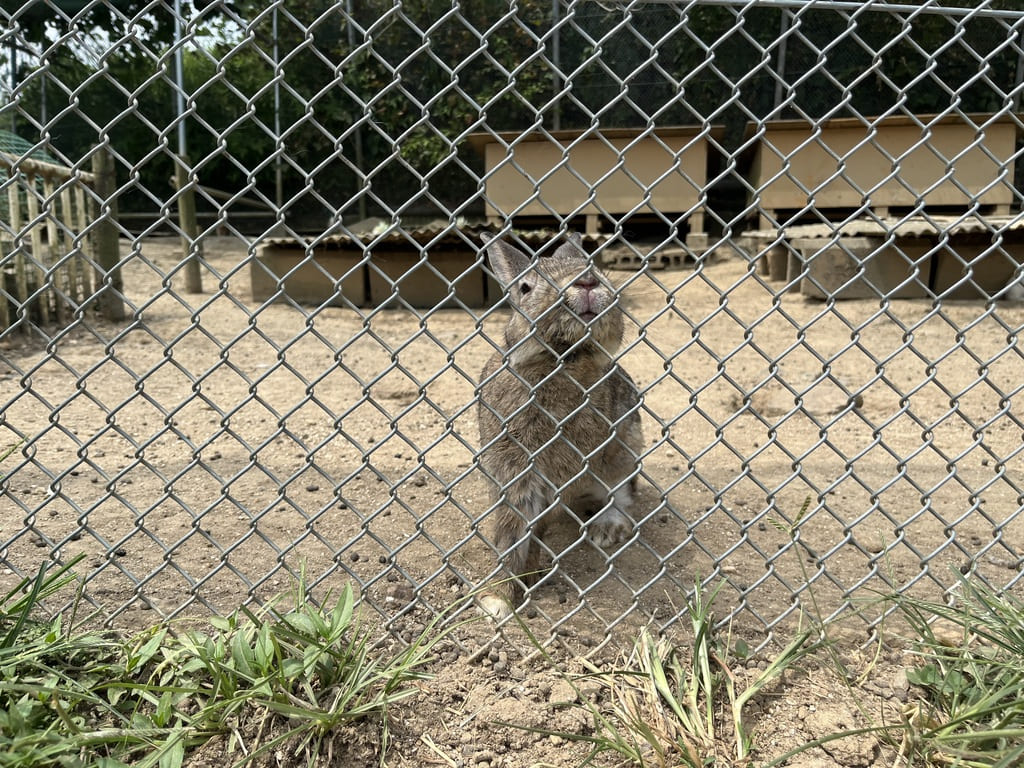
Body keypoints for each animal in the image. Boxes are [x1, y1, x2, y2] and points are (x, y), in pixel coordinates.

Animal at [477, 230, 638, 618]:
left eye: (595, 268)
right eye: (525, 288)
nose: (588, 281)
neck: (563, 360)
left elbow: (537, 527)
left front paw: (525, 578)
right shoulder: (513, 471)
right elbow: (510, 532)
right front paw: (497, 601)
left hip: (625, 447)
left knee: (622, 493)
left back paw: (607, 530)